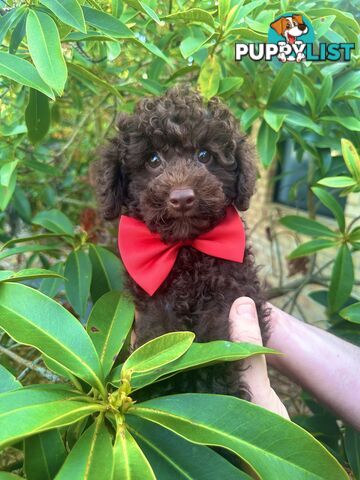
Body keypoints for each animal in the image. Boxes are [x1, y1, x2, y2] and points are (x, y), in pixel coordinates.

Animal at [94, 87, 268, 402]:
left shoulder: (231, 288)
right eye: (153, 160)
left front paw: (217, 389)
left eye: (204, 155)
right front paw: (158, 386)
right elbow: (160, 336)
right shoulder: (153, 297)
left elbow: (215, 338)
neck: (185, 250)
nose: (182, 198)